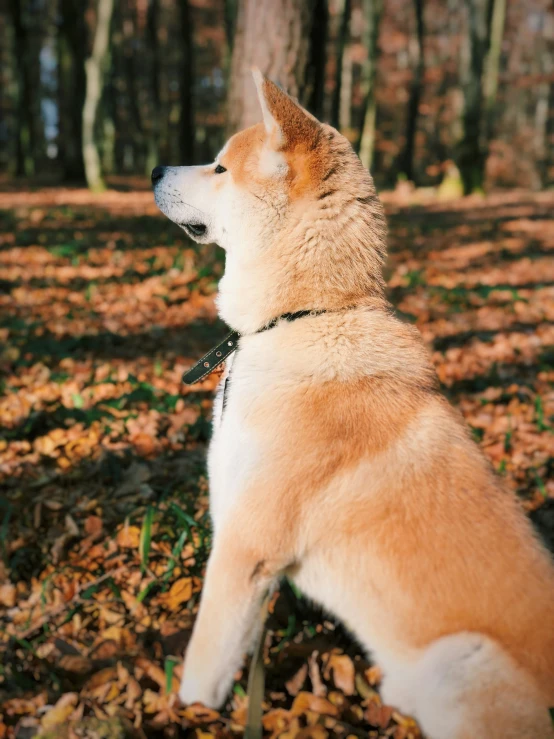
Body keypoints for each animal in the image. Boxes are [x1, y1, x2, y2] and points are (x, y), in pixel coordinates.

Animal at [151, 71, 552, 739]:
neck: (303, 316)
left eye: (219, 167)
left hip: (460, 659)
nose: (155, 167)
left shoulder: (245, 544)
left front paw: (184, 714)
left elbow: (206, 661)